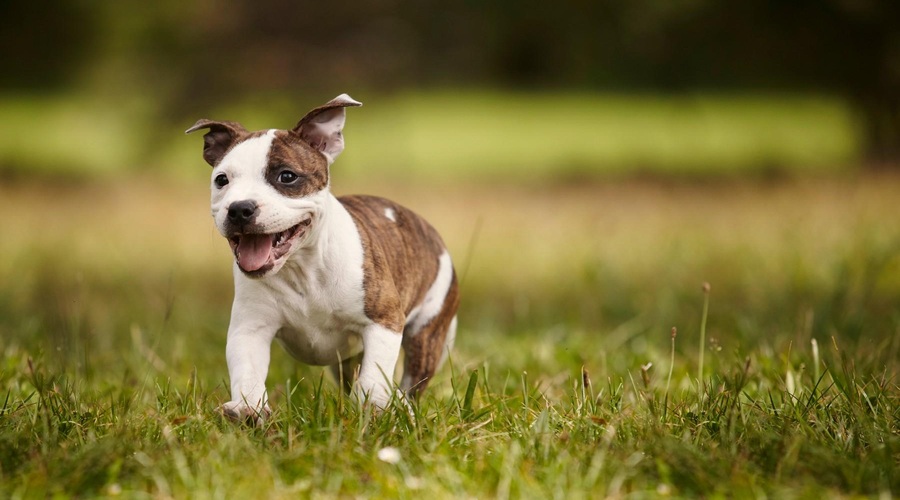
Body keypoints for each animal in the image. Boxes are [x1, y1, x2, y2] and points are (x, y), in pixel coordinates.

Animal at [186, 94, 460, 422]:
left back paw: (402, 408)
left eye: (287, 176)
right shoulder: (250, 328)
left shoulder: (383, 321)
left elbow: (374, 376)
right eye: (221, 180)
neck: (302, 267)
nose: (239, 208)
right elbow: (248, 371)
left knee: (411, 380)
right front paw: (247, 409)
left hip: (427, 331)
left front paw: (373, 408)